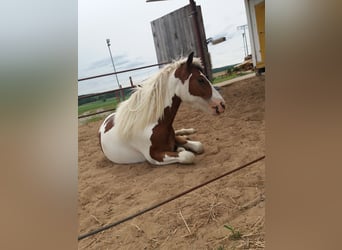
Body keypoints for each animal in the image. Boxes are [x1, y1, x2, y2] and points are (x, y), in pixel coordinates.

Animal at [97, 52, 226, 166]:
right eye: (200, 80)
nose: (222, 104)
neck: (152, 124)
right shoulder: (154, 157)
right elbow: (187, 156)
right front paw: (180, 149)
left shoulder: (175, 139)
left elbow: (199, 146)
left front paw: (183, 142)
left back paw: (188, 131)